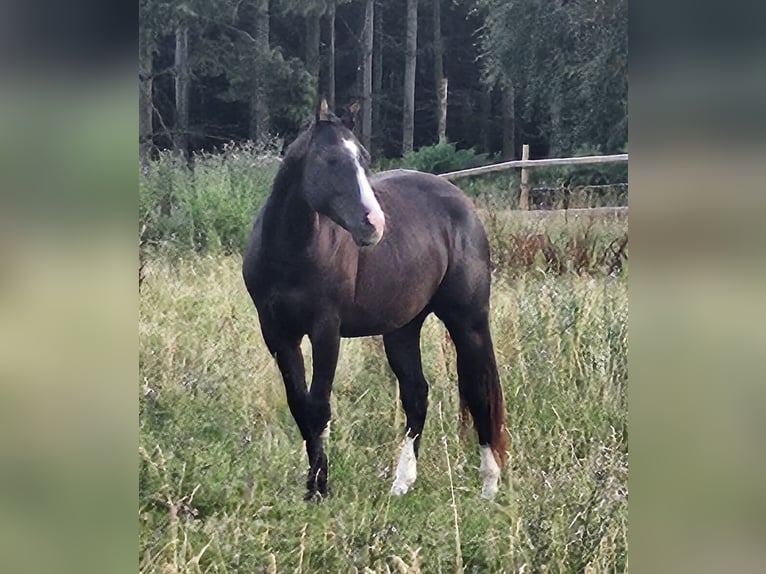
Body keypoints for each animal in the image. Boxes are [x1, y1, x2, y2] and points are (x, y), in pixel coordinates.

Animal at [242, 99, 508, 500]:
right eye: (330, 159)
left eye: (364, 159)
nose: (374, 224)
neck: (289, 256)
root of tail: (461, 204)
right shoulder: (278, 334)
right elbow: (300, 407)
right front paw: (312, 484)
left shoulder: (325, 331)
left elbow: (318, 406)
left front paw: (320, 487)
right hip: (402, 329)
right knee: (416, 394)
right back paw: (402, 482)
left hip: (468, 321)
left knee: (479, 392)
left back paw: (489, 485)